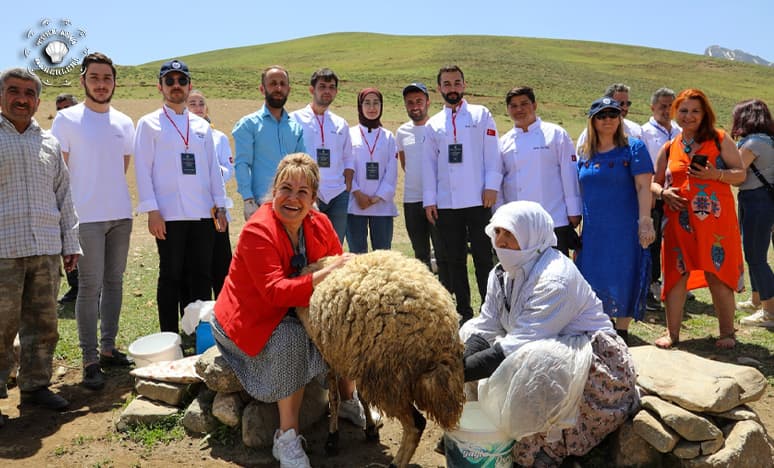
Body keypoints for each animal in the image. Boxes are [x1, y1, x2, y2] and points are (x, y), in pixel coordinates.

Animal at [300, 250, 464, 468]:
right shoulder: (356, 357)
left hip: (388, 379)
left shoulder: (330, 356)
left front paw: (332, 437)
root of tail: (438, 329)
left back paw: (395, 463)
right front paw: (370, 428)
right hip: (383, 373)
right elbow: (361, 396)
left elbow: (334, 398)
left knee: (416, 425)